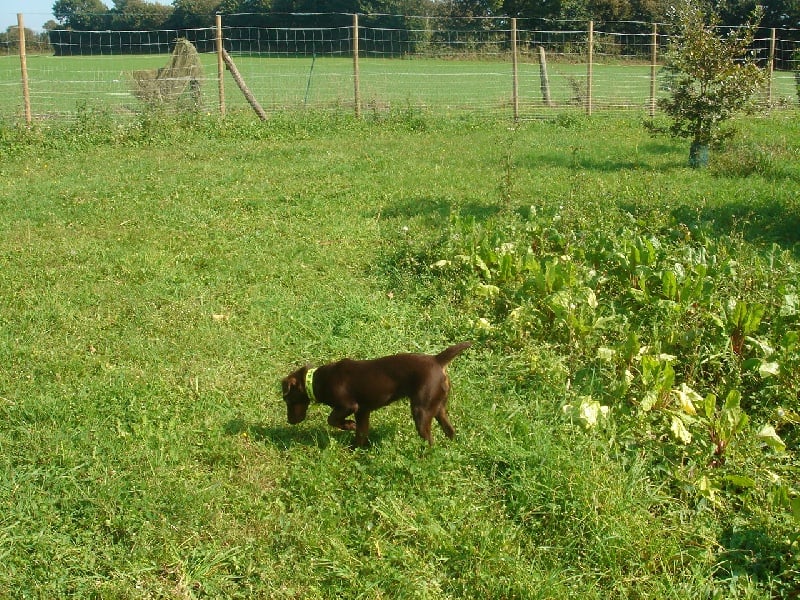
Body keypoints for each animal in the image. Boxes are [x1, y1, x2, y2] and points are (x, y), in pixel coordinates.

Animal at [280, 342, 468, 446]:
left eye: (287, 400)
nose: (289, 421)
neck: (316, 380)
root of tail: (437, 360)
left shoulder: (349, 406)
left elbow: (332, 419)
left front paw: (349, 425)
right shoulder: (363, 412)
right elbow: (361, 434)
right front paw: (354, 450)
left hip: (421, 411)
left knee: (429, 440)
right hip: (438, 408)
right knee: (450, 431)